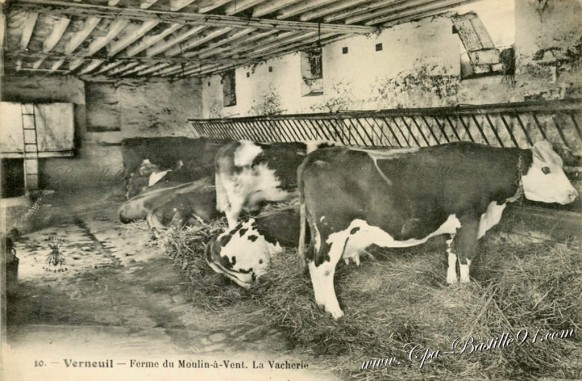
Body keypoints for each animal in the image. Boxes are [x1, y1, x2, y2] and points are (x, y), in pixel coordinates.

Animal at [298, 140, 580, 318]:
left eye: (562, 166)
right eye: (546, 169)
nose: (572, 194)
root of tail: (315, 157)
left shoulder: (454, 225)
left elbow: (451, 252)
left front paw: (451, 282)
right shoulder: (470, 219)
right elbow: (465, 256)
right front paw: (466, 289)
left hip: (318, 231)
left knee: (311, 259)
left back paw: (320, 303)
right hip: (333, 229)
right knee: (324, 266)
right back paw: (335, 311)